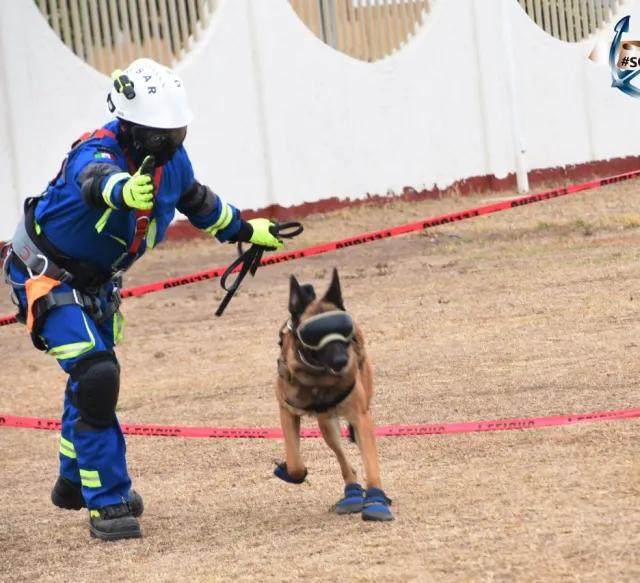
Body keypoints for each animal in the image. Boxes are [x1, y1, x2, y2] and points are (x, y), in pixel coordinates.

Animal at [272, 266, 392, 524]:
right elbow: (295, 463)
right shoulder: (286, 411)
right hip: (326, 425)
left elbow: (371, 464)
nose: (341, 361)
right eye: (313, 335)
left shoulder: (361, 416)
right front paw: (290, 470)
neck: (318, 379)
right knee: (345, 462)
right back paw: (352, 495)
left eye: (342, 328)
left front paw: (377, 501)